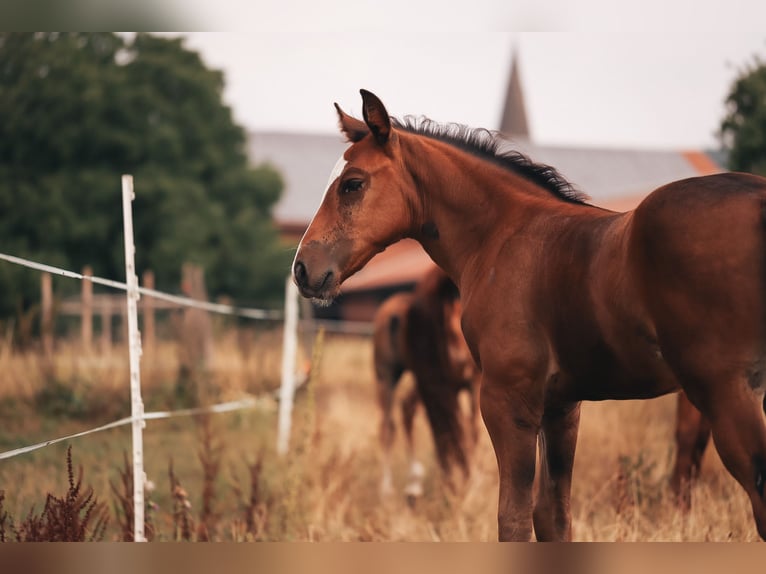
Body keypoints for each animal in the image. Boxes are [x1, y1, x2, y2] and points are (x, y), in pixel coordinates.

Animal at [373, 265, 480, 500]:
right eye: (445, 323)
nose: (460, 359)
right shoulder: (444, 389)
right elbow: (455, 433)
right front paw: (463, 487)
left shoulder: (471, 385)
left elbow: (468, 430)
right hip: (386, 378)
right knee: (387, 428)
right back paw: (387, 489)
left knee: (407, 410)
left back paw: (415, 481)